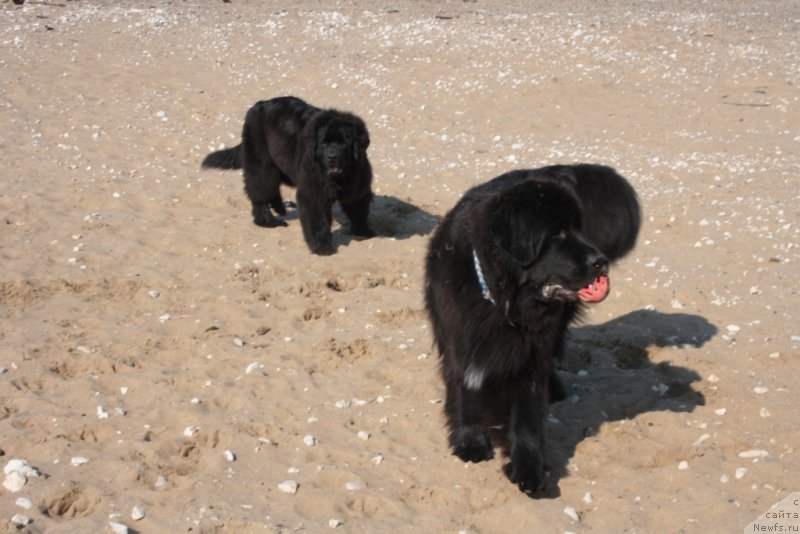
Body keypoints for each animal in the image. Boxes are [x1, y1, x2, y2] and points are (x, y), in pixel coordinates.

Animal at [200, 96, 376, 255]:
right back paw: (267, 221)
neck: (340, 178)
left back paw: (279, 208)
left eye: (344, 143)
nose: (332, 157)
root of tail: (258, 105)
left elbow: (359, 210)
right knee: (259, 191)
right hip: (261, 164)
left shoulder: (357, 188)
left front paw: (363, 231)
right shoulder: (313, 192)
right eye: (324, 143)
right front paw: (322, 247)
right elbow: (317, 220)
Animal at [424, 164, 644, 498]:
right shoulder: (460, 338)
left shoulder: (530, 356)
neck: (502, 300)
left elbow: (527, 418)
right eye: (555, 233)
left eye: (579, 228)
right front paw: (470, 441)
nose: (601, 262)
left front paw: (529, 469)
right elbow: (465, 390)